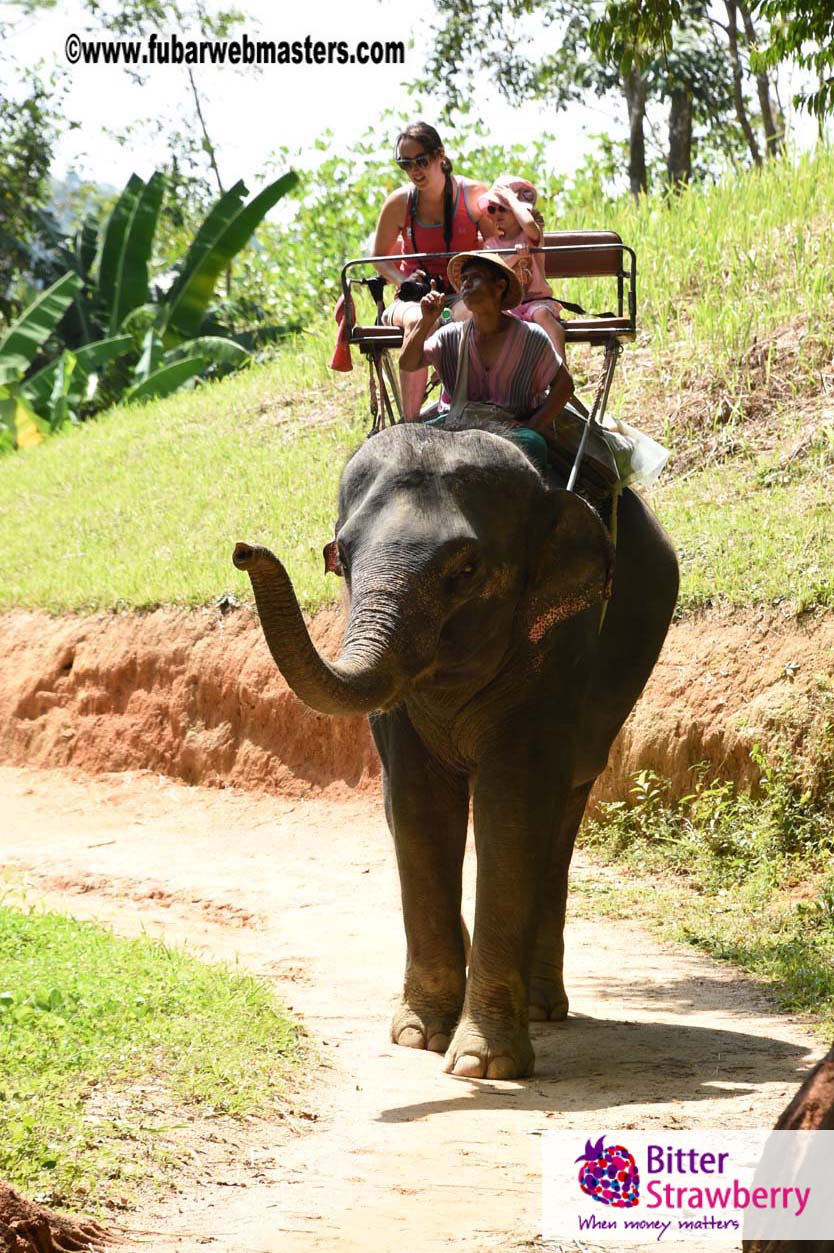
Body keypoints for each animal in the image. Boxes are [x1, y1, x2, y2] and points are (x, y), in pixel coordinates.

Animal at [233, 414, 678, 1080]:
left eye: (466, 571)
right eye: (342, 557)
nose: (243, 551)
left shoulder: (560, 649)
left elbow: (511, 808)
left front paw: (480, 1065)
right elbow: (417, 805)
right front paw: (419, 1036)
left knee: (562, 818)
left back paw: (543, 1009)